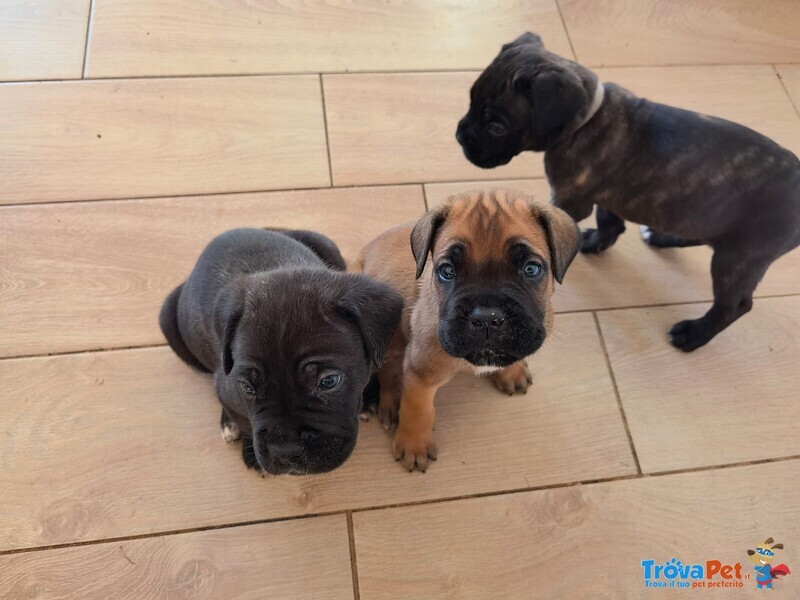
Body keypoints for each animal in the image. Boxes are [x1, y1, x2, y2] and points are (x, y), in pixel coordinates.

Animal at [160, 229, 404, 474]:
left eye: (329, 381)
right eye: (247, 387)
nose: (285, 451)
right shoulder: (227, 386)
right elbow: (244, 419)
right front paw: (247, 444)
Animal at [456, 31, 800, 352]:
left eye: (496, 127)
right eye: (470, 99)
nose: (460, 135)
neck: (586, 118)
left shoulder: (569, 199)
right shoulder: (610, 197)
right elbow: (610, 223)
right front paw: (595, 242)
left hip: (740, 257)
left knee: (734, 304)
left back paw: (694, 334)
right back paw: (660, 237)